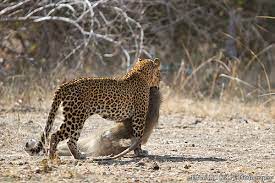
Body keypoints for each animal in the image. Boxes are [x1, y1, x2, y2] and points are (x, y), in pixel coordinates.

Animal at [25, 58, 162, 159]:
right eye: (159, 73)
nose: (160, 82)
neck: (140, 73)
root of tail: (66, 84)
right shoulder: (139, 115)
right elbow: (138, 135)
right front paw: (139, 152)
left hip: (77, 118)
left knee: (71, 141)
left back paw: (79, 156)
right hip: (75, 119)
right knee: (54, 135)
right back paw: (53, 157)